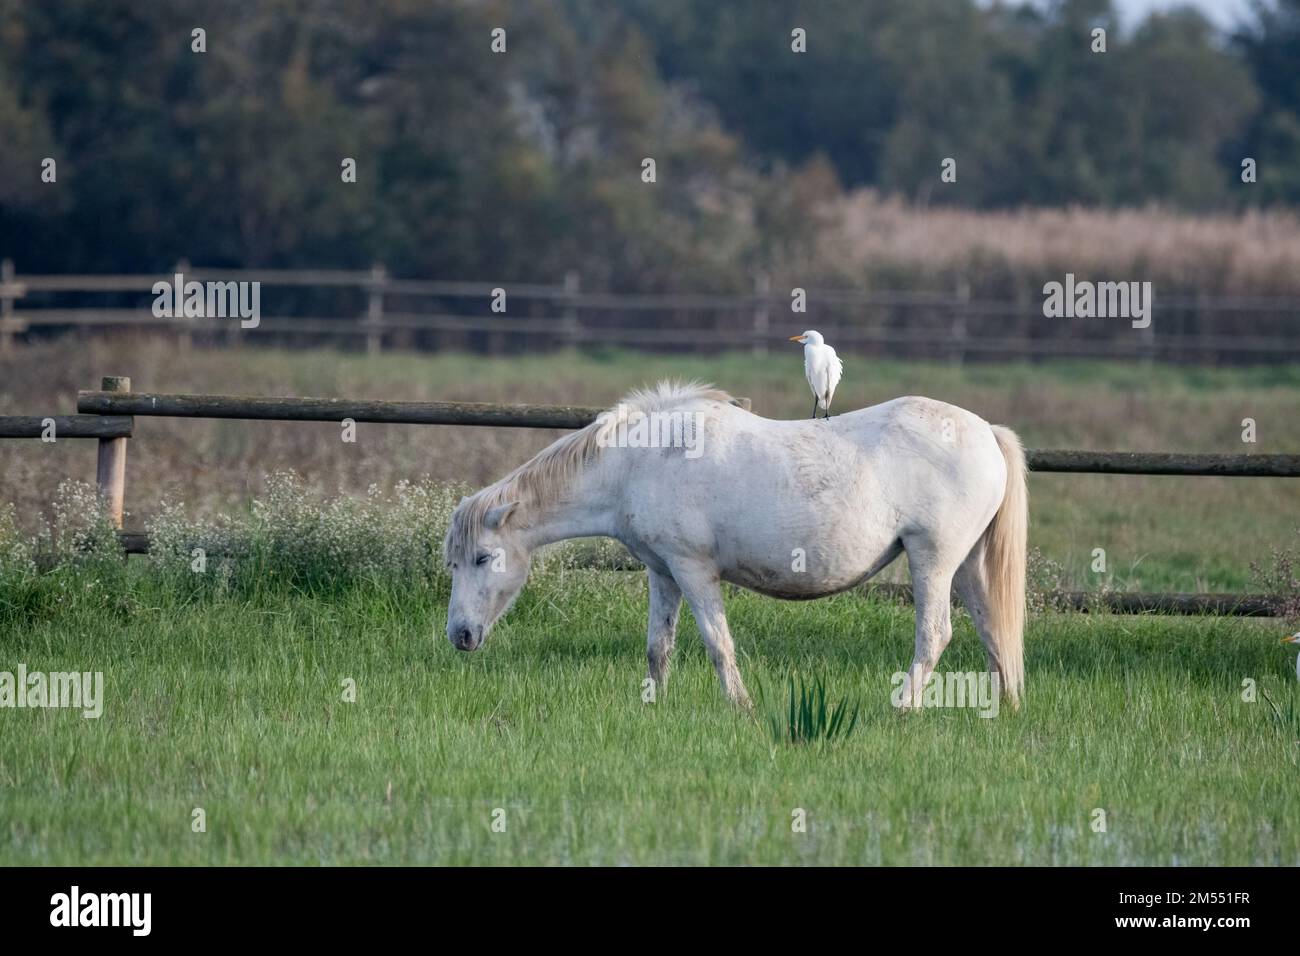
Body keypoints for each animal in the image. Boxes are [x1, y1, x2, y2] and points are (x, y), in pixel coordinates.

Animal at [443, 381, 1028, 709]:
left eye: (482, 557)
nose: (460, 635)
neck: (642, 458)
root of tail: (986, 431)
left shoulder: (693, 570)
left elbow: (717, 643)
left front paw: (740, 707)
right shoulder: (662, 572)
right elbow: (658, 647)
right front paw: (652, 707)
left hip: (933, 559)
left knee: (935, 634)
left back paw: (903, 706)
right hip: (967, 566)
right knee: (992, 630)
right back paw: (1007, 707)